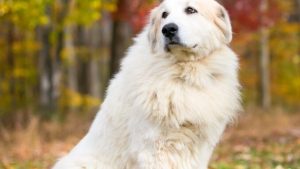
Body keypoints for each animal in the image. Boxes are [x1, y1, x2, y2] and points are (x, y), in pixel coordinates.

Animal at [52, 0, 241, 168]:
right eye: (164, 15)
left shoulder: (200, 148)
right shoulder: (155, 148)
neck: (185, 73)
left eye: (191, 10)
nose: (168, 29)